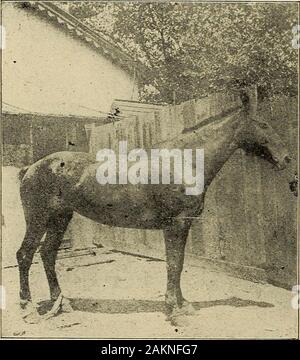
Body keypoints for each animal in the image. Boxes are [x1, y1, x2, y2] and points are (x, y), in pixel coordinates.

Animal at [15, 94, 290, 322]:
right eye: (263, 124)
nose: (286, 158)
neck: (184, 161)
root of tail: (31, 168)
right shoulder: (176, 223)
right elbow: (174, 264)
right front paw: (175, 310)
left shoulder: (180, 225)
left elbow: (177, 262)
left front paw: (182, 304)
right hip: (38, 219)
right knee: (25, 255)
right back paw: (28, 307)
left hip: (60, 218)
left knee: (47, 254)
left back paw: (61, 304)